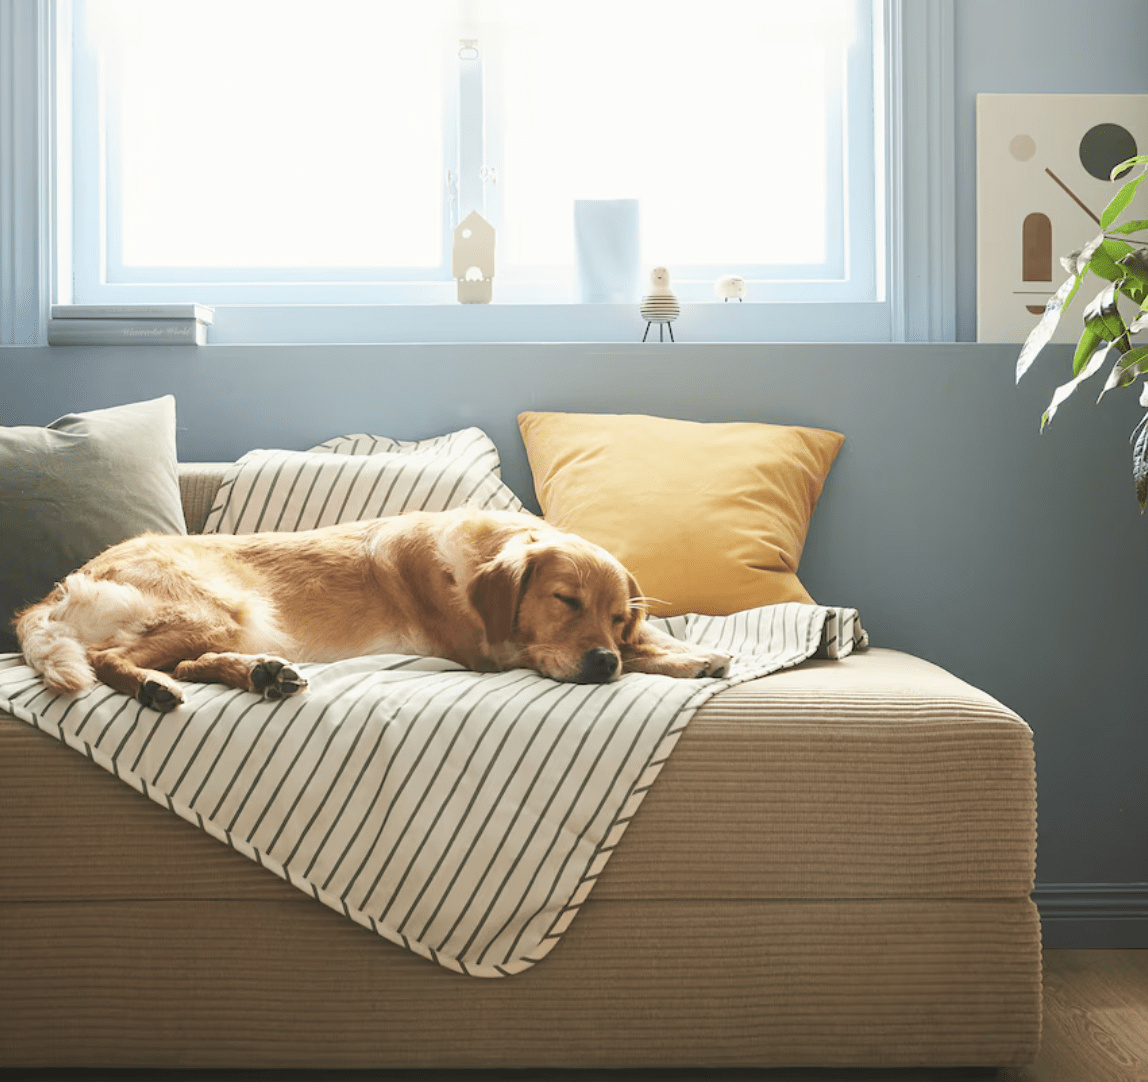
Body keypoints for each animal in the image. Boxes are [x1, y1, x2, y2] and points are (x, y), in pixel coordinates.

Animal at [17, 507, 730, 711]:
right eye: (566, 601)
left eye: (616, 615)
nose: (603, 661)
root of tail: (56, 591)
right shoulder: (492, 652)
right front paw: (676, 656)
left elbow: (651, 644)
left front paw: (688, 653)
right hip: (215, 610)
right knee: (107, 658)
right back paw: (151, 687)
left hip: (230, 624)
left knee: (193, 663)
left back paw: (261, 675)